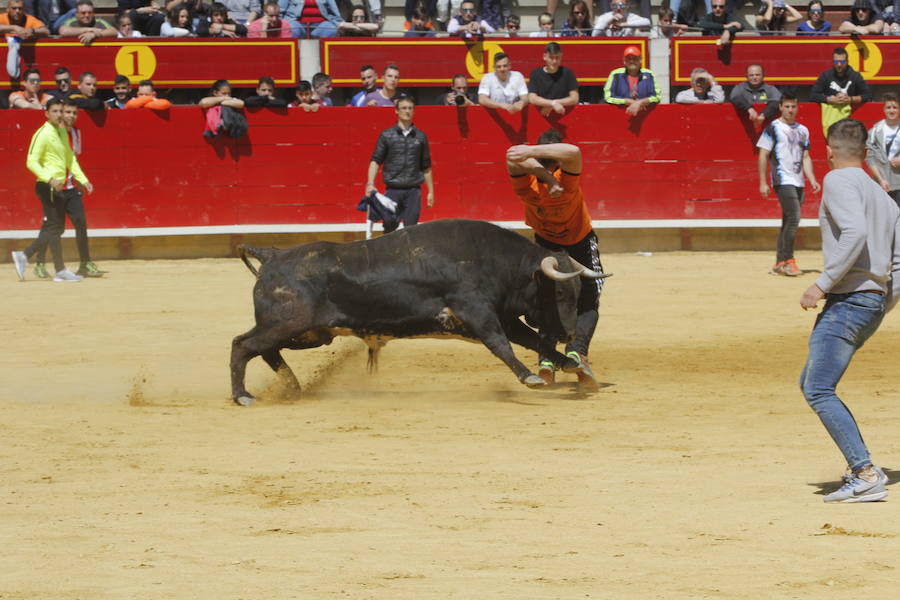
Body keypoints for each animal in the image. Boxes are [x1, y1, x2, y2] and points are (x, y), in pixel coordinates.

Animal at [229, 218, 608, 406]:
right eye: (560, 290)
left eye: (579, 292)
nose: (570, 333)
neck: (498, 262)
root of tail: (273, 256)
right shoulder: (477, 312)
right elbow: (502, 345)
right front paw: (530, 378)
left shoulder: (503, 316)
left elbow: (531, 340)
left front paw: (570, 364)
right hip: (288, 323)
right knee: (242, 345)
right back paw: (243, 396)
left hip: (310, 333)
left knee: (265, 349)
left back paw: (291, 387)